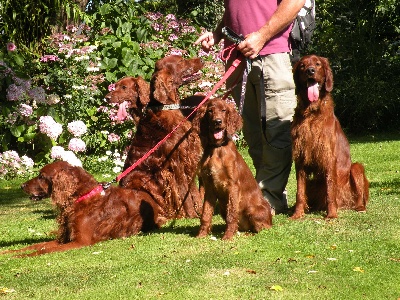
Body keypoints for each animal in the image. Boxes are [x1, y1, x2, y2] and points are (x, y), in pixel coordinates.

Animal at [3, 161, 164, 256]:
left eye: (41, 176)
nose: (22, 185)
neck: (81, 198)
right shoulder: (64, 239)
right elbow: (36, 246)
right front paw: (10, 251)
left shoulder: (81, 242)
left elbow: (44, 250)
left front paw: (20, 256)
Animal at [106, 54, 203, 218]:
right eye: (181, 61)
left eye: (124, 87)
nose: (201, 59)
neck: (168, 107)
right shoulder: (176, 161)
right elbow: (184, 189)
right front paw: (191, 214)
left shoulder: (187, 156)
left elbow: (193, 190)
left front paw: (201, 211)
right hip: (143, 179)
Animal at [192, 99, 274, 240]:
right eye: (210, 111)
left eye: (224, 110)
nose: (217, 121)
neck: (217, 148)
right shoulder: (209, 187)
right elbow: (206, 213)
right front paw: (201, 234)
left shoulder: (233, 186)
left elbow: (232, 214)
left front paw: (228, 237)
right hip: (222, 208)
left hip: (252, 210)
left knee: (262, 229)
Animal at [290, 54, 368, 218]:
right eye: (302, 66)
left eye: (318, 64)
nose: (310, 71)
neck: (312, 112)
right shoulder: (300, 158)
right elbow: (300, 191)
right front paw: (297, 214)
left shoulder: (328, 157)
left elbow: (330, 189)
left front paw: (331, 214)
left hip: (356, 168)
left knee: (358, 196)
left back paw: (359, 207)